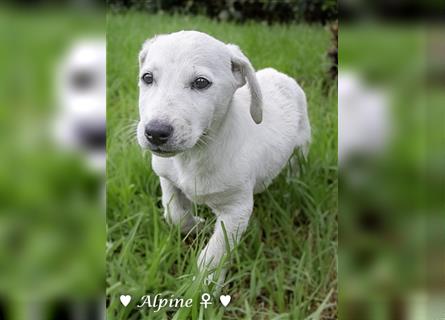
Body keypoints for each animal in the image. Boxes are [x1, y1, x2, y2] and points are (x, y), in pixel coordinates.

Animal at [135, 30, 308, 278]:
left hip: (302, 141)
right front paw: (197, 225)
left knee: (296, 165)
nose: (156, 133)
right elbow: (174, 213)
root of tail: (280, 74)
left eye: (201, 82)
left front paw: (204, 282)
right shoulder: (166, 177)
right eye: (147, 78)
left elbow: (215, 253)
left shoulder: (236, 209)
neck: (194, 154)